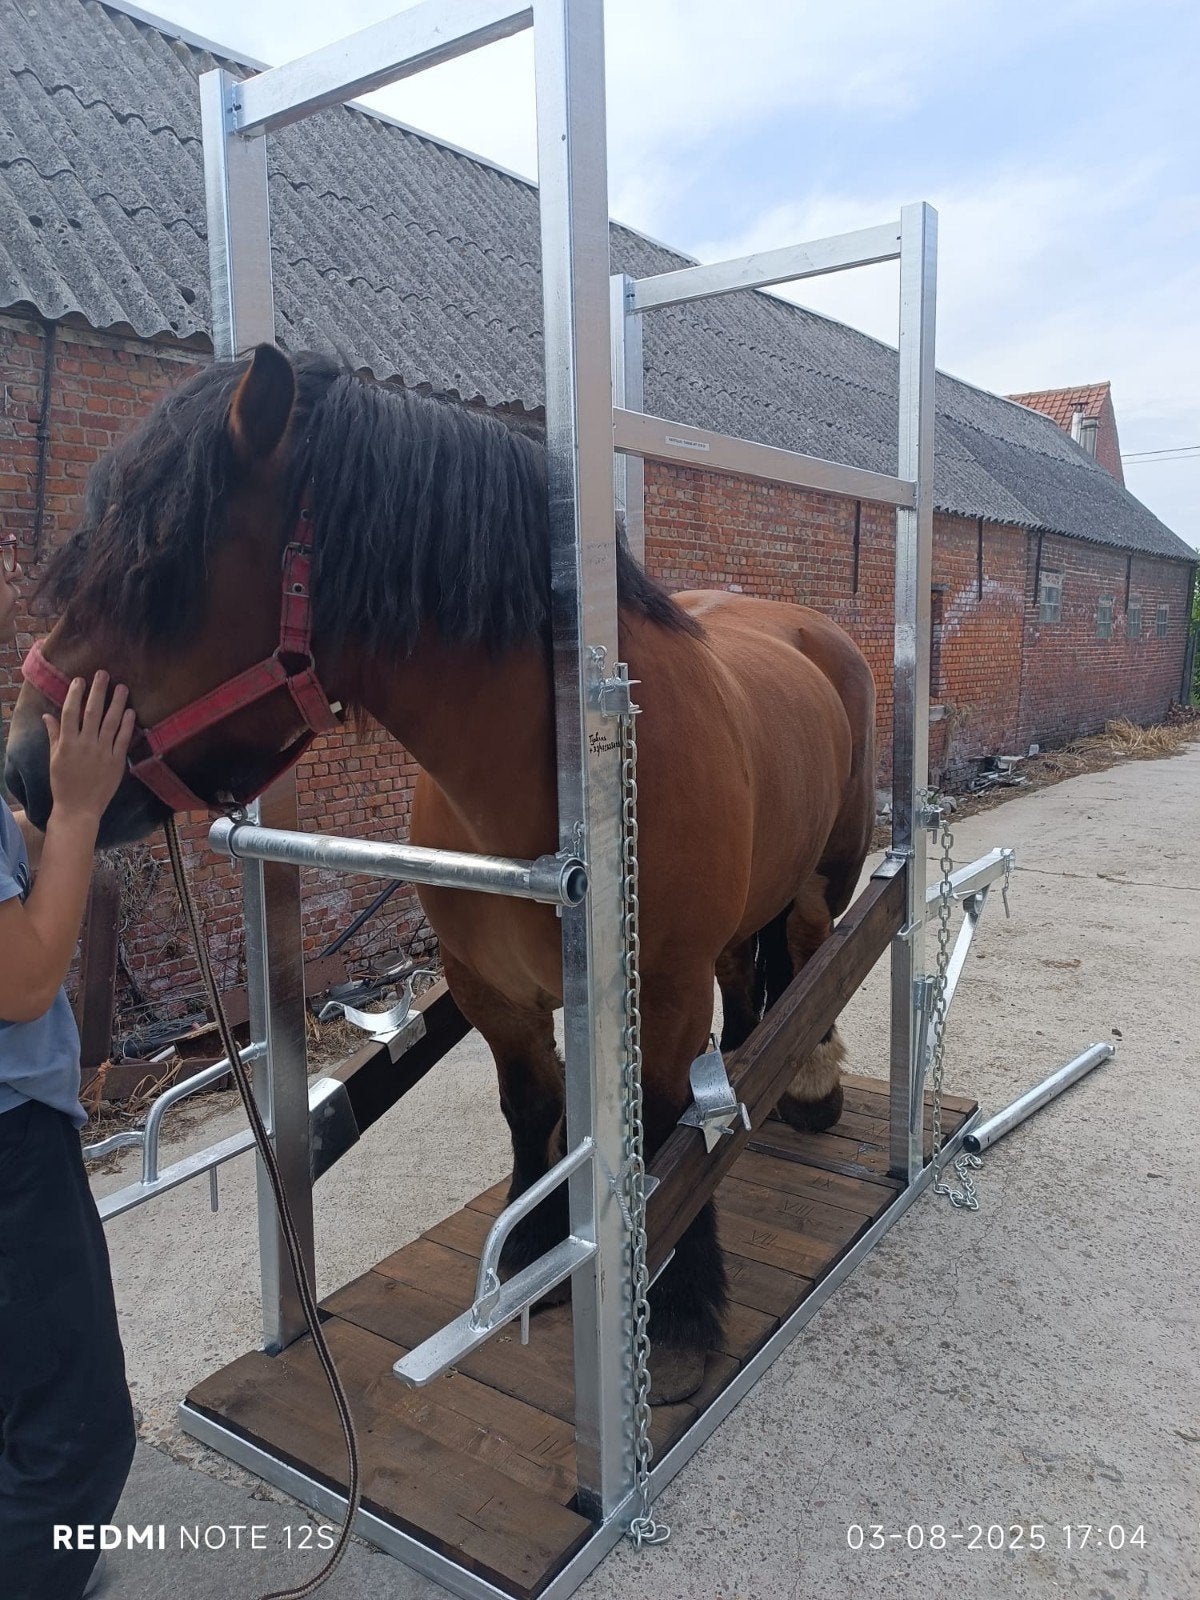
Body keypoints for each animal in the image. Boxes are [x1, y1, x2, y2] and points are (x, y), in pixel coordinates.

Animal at [5, 345, 877, 1404]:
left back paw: (810, 1083)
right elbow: (534, 1110)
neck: (540, 794)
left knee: (809, 956)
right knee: (752, 977)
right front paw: (540, 1259)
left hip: (832, 868)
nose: (24, 773)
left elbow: (665, 1124)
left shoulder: (659, 993)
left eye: (159, 564)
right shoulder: (490, 990)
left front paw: (675, 1314)